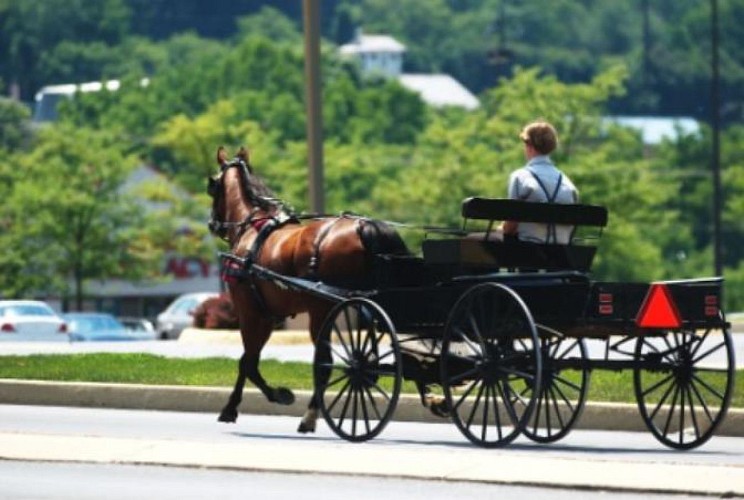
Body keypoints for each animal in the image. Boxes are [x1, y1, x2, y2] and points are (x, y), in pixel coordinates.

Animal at [206, 146, 410, 432]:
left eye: (212, 186)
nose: (212, 224)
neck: (253, 227)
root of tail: (365, 226)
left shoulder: (251, 312)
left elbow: (248, 362)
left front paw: (256, 401)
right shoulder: (269, 315)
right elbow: (249, 360)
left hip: (321, 311)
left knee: (325, 363)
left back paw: (310, 415)